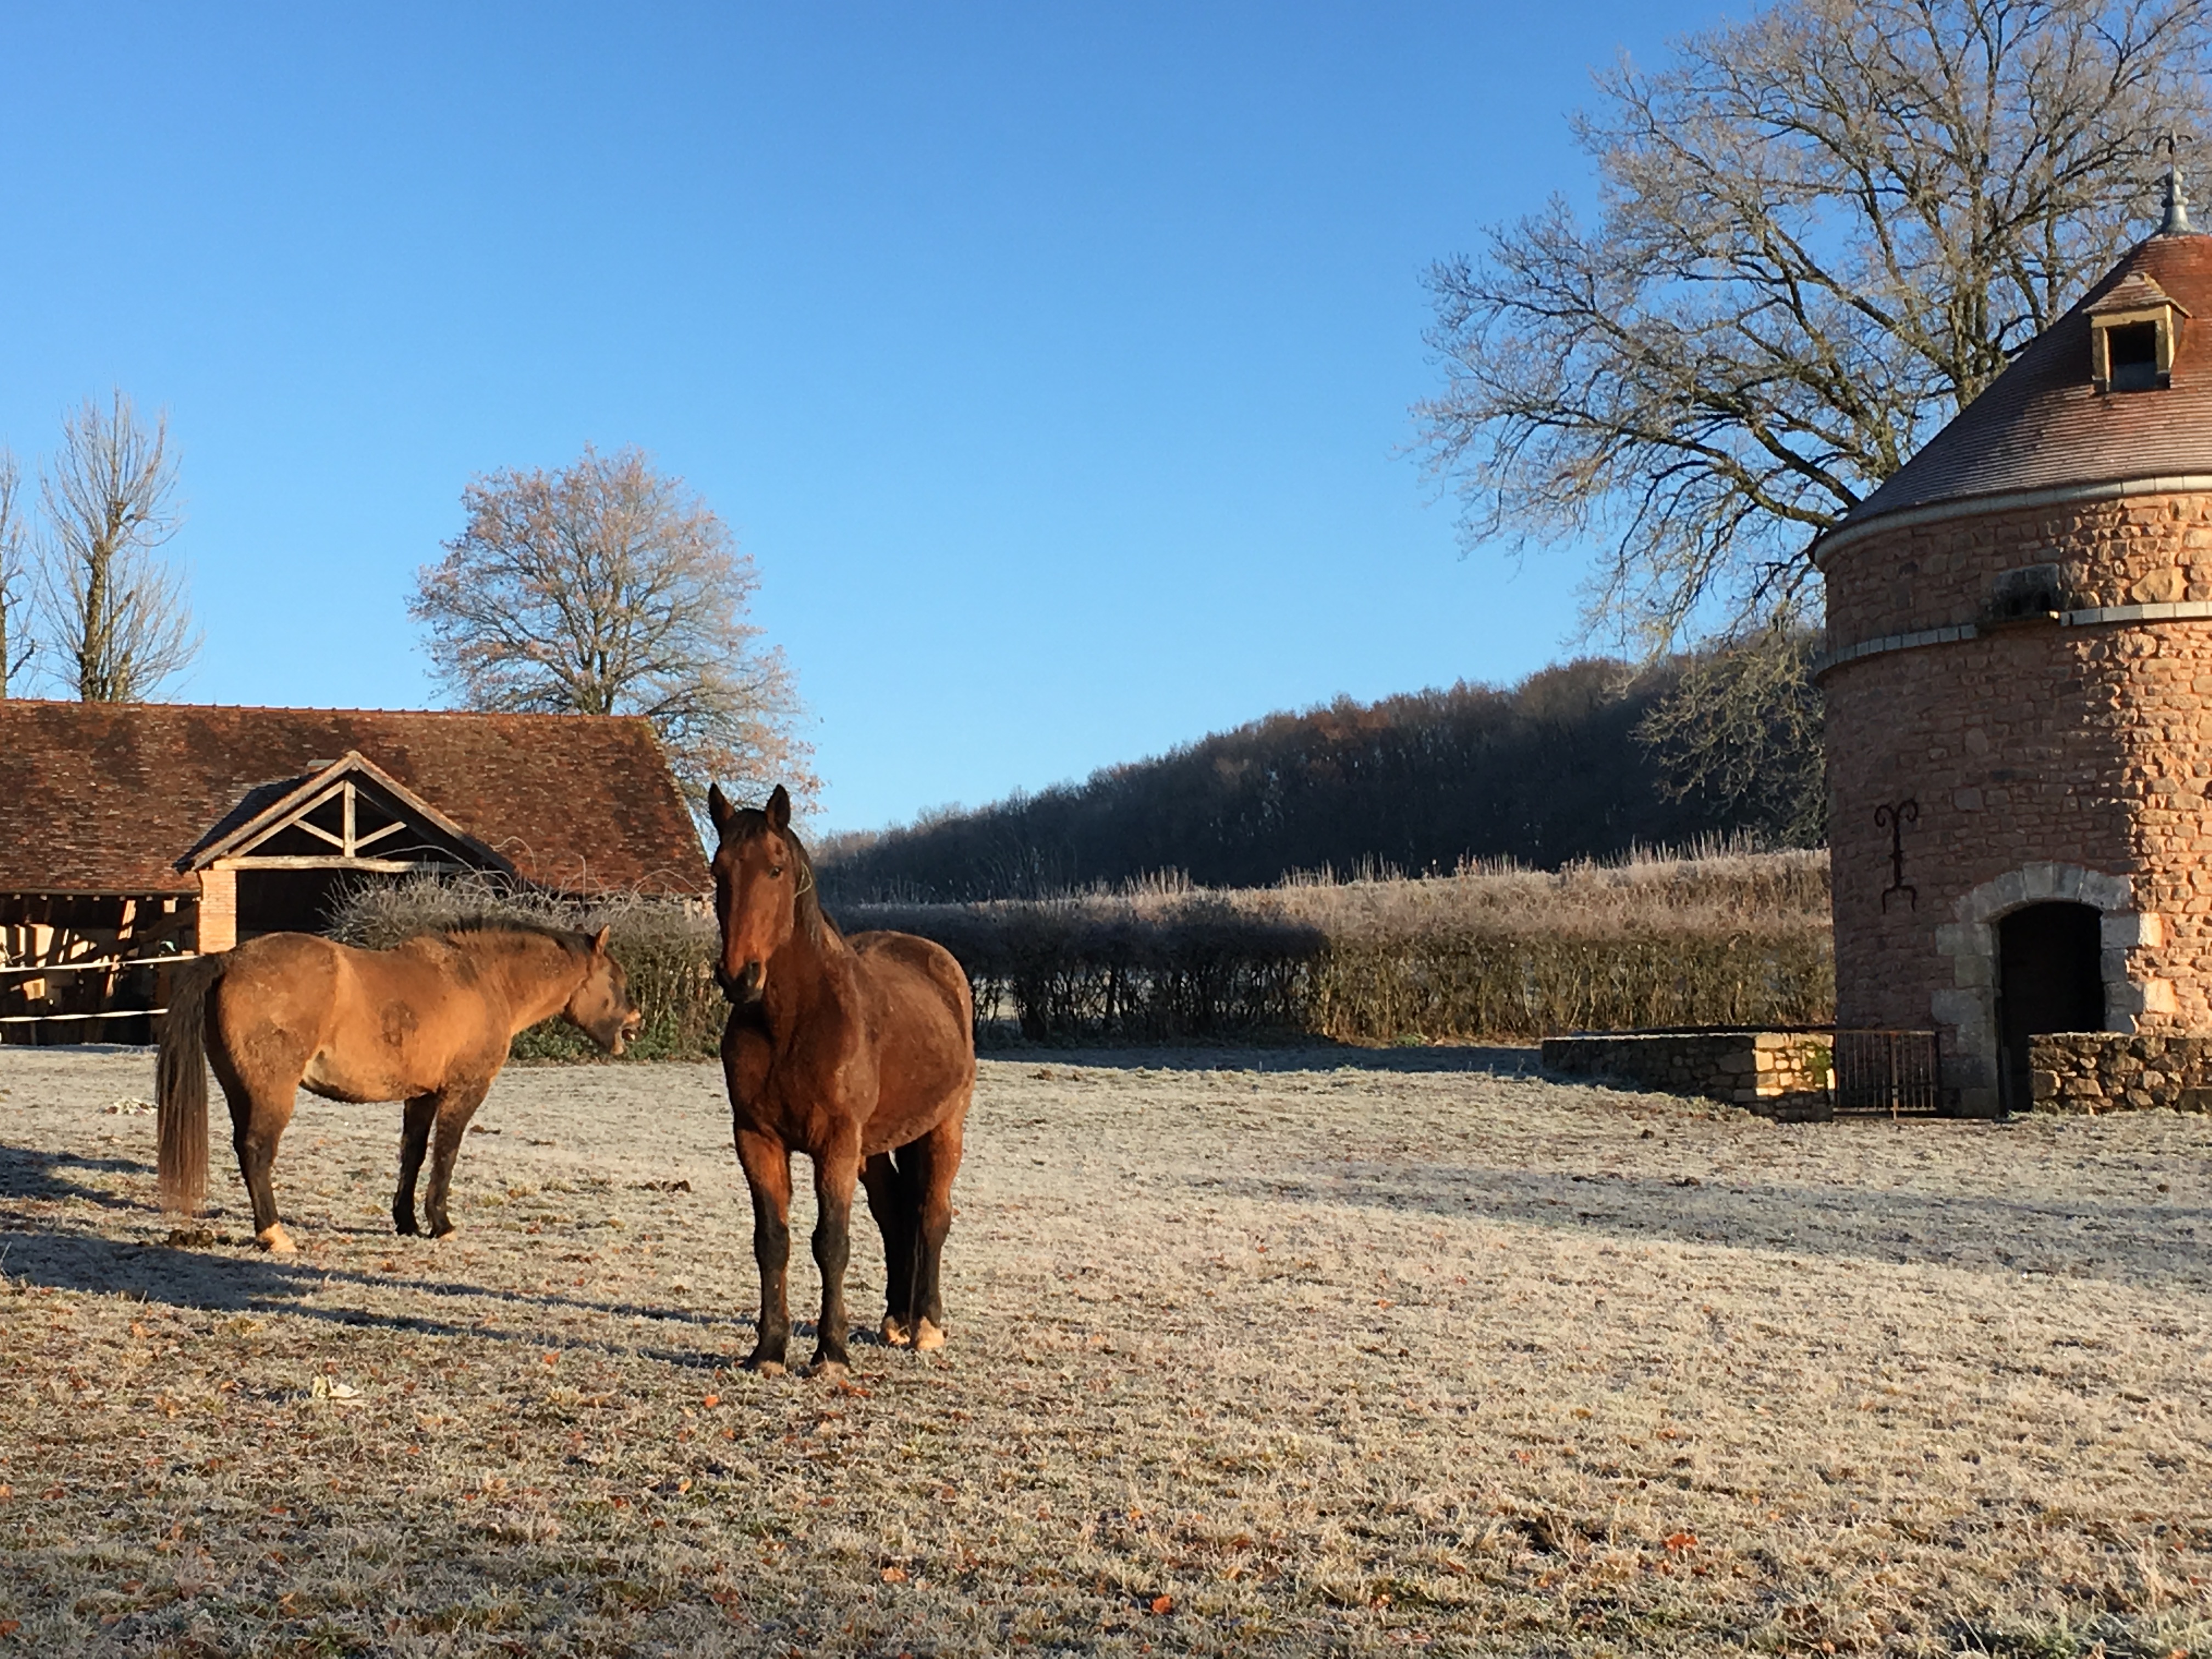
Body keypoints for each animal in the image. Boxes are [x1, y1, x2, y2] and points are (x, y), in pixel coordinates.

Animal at [156, 924, 641, 1252]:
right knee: (257, 1152)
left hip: (240, 1091)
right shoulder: (463, 1092)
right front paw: (441, 1224)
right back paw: (275, 1235)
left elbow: (414, 1153)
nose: (634, 1026)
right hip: (271, 1094)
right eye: (615, 980)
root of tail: (228, 959)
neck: (484, 979)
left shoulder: (421, 1096)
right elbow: (446, 1154)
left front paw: (406, 1221)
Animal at [708, 783, 976, 1378]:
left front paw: (830, 1353)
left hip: (943, 1127)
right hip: (872, 1148)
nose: (740, 977)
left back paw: (926, 1326)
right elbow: (772, 1240)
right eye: (718, 871)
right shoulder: (756, 1139)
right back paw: (897, 1319)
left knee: (934, 1214)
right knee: (895, 1213)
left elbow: (831, 1241)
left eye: (776, 869)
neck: (791, 1021)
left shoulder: (834, 1143)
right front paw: (769, 1351)